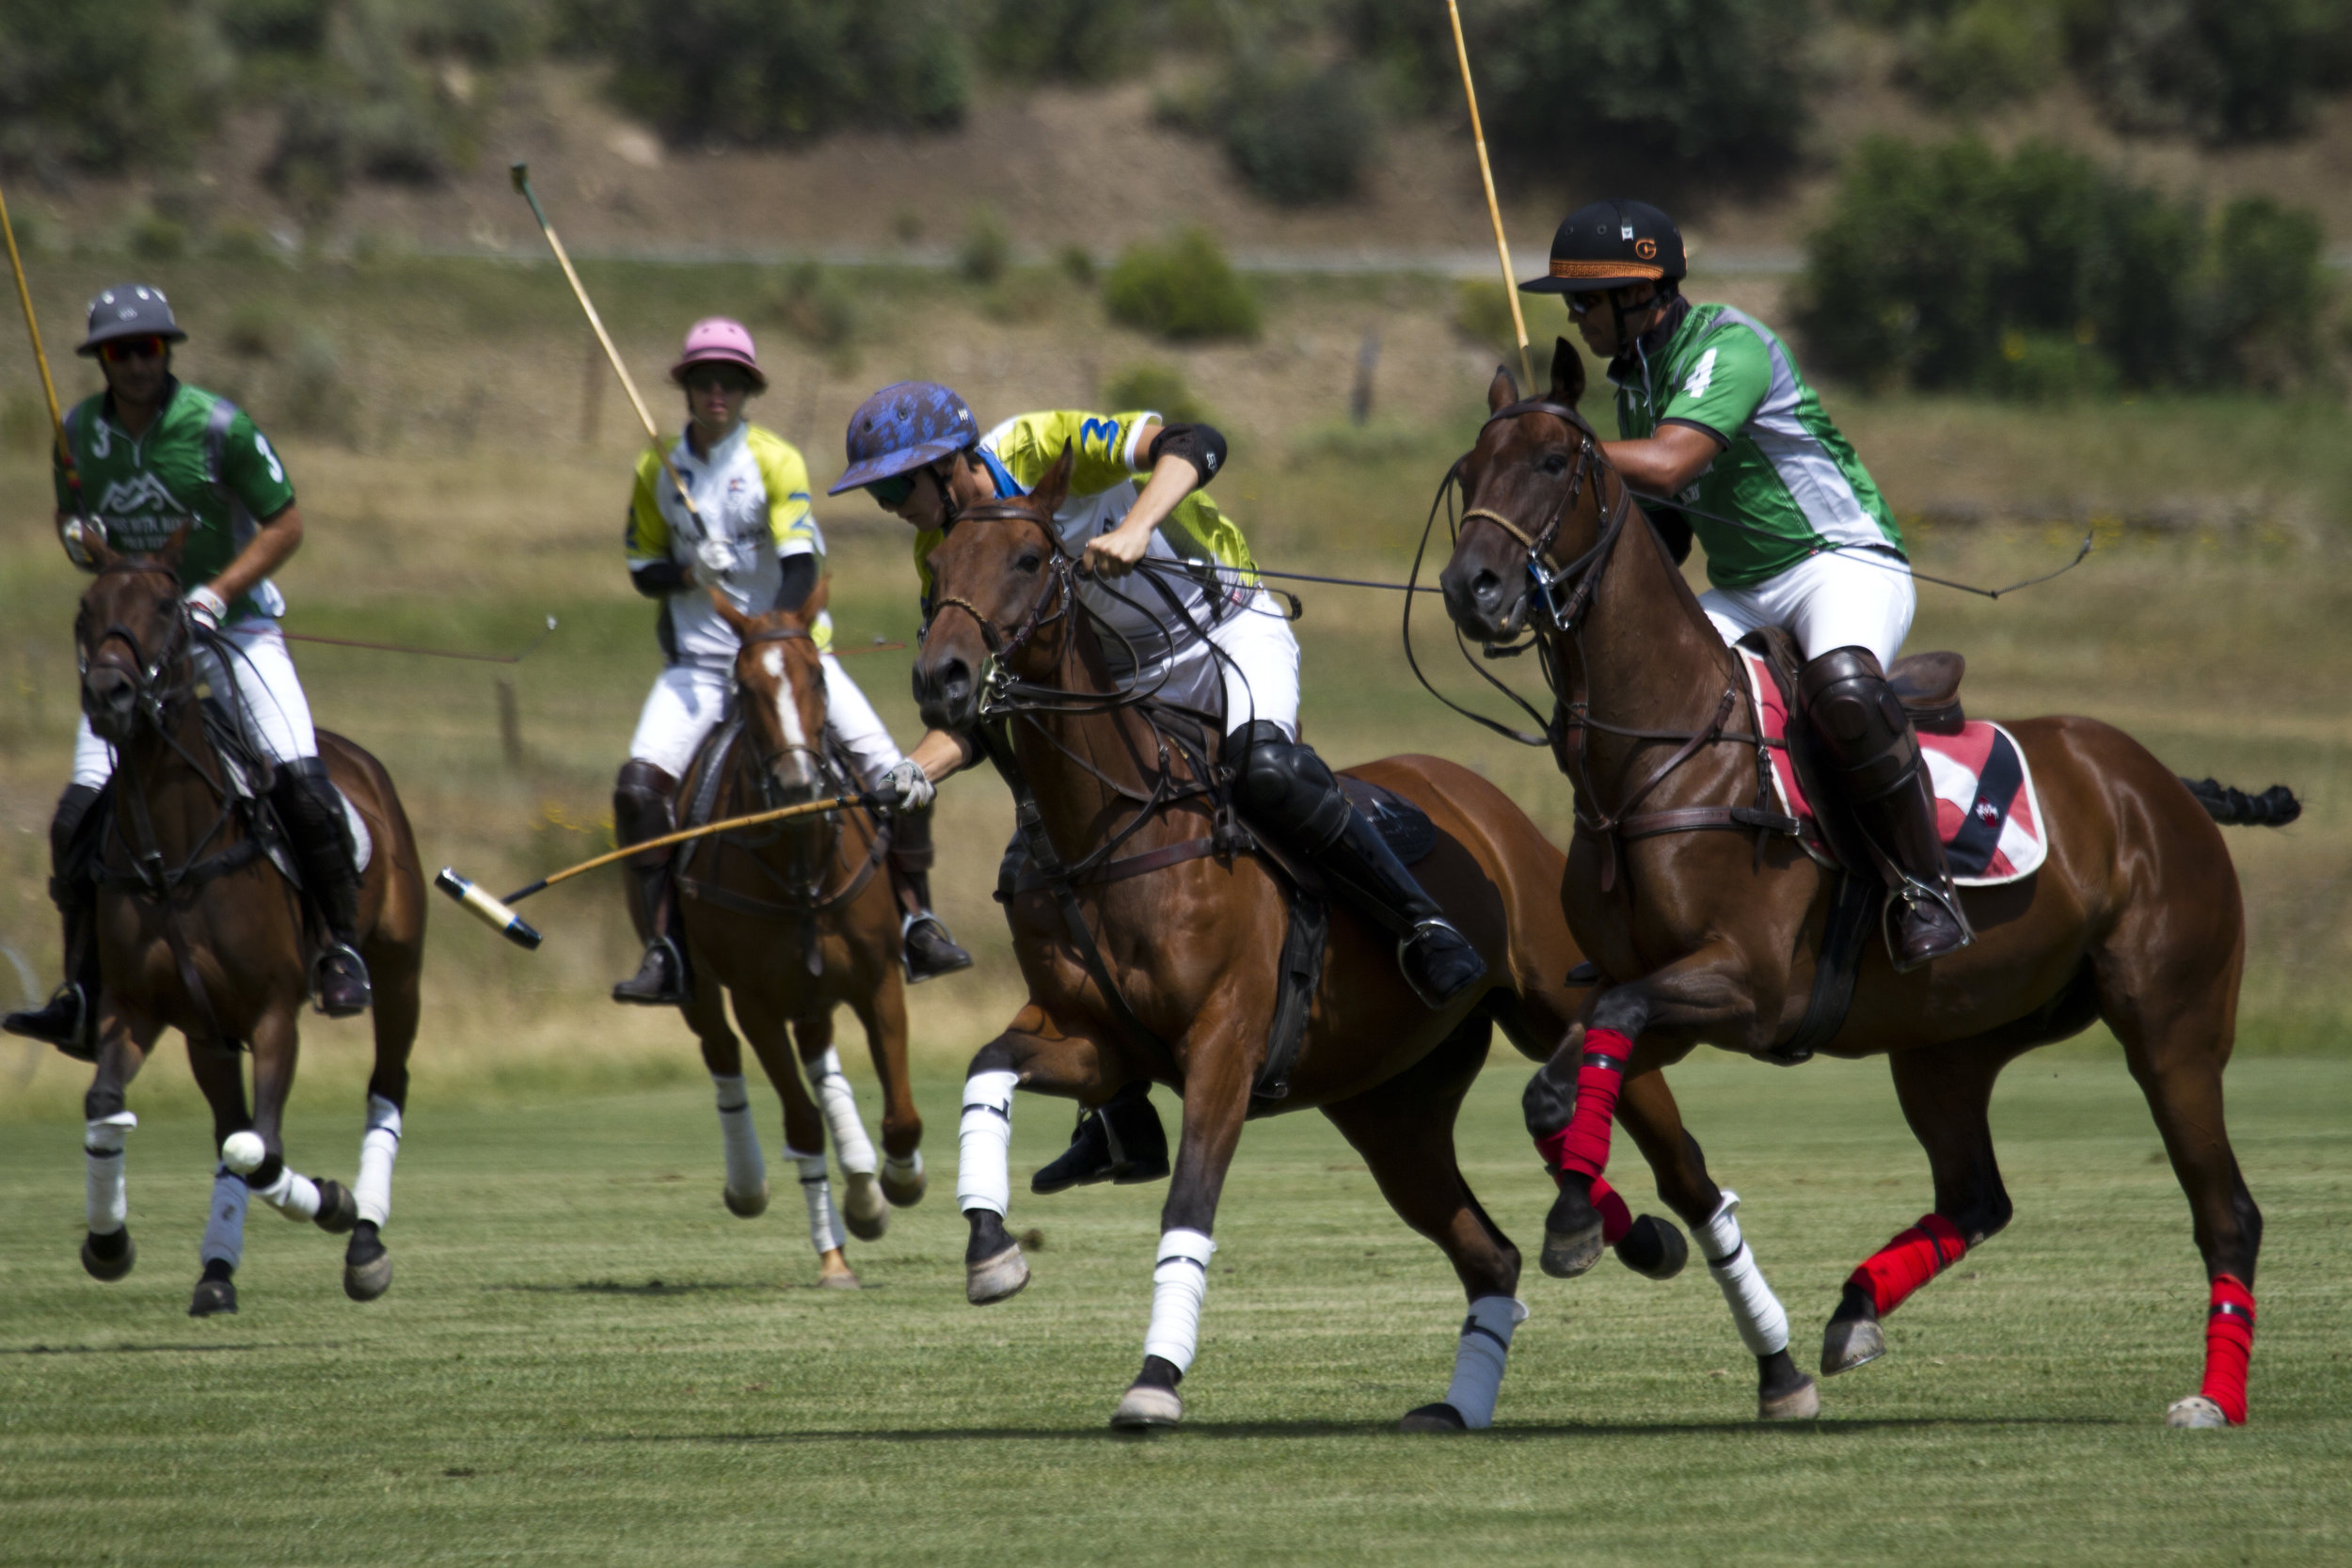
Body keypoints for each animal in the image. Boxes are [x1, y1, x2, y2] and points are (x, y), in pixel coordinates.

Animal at [70, 540, 423, 1316]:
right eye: (86, 608)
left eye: (167, 605)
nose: (109, 695)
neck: (171, 859)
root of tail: (350, 753)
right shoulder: (147, 1010)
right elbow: (112, 1106)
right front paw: (109, 1241)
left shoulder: (272, 1015)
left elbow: (261, 1152)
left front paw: (335, 1203)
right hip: (209, 1030)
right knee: (227, 1126)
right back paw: (216, 1271)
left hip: (398, 965)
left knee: (387, 1081)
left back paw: (365, 1237)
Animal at [673, 585, 927, 1288]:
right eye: (744, 684)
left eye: (817, 674)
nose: (797, 787)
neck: (799, 864)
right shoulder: (754, 1001)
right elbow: (803, 1124)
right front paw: (835, 1253)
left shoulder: (880, 980)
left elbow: (902, 1117)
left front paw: (896, 1186)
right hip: (703, 987)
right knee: (721, 1052)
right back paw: (754, 1186)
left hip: (816, 993)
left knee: (820, 1057)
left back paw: (864, 1186)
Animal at [903, 451, 1816, 1438]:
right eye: (938, 567)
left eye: (1031, 559)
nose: (942, 676)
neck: (1109, 828)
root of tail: (1479, 798)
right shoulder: (1097, 1040)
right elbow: (987, 1066)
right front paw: (990, 1246)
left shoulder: (1224, 1041)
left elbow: (1189, 1203)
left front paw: (1155, 1377)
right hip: (1390, 1109)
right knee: (1490, 1253)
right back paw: (1473, 1390)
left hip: (1574, 1006)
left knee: (1687, 1177)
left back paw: (1778, 1364)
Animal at [1439, 350, 2286, 1429]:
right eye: (1468, 472)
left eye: (1552, 461)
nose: (1473, 586)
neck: (1659, 754)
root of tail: (2168, 787)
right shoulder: (1671, 995)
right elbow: (1572, 1068)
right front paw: (1591, 1217)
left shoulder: (1750, 985)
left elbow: (1596, 1042)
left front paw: (1583, 1219)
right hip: (1949, 1042)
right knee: (1977, 1194)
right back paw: (1854, 1310)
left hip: (2170, 1024)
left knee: (2227, 1209)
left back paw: (2212, 1398)